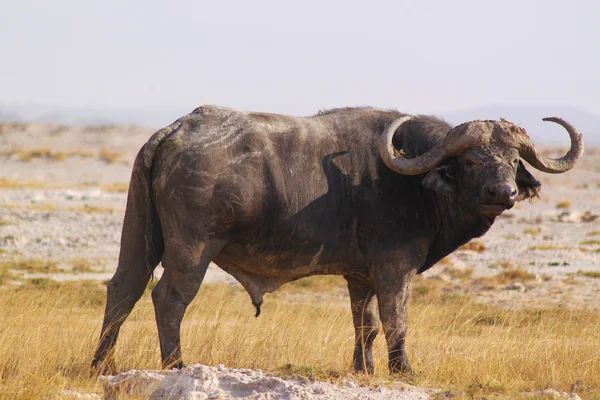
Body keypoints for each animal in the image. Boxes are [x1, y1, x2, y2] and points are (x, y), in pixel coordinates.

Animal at [91, 105, 584, 376]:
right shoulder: (394, 269)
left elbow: (364, 324)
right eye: (471, 159)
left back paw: (103, 366)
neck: (412, 179)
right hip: (192, 249)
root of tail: (178, 129)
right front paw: (402, 370)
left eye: (512, 158)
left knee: (123, 289)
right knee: (169, 298)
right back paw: (174, 365)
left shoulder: (358, 276)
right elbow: (395, 321)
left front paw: (363, 369)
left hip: (140, 237)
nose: (503, 193)